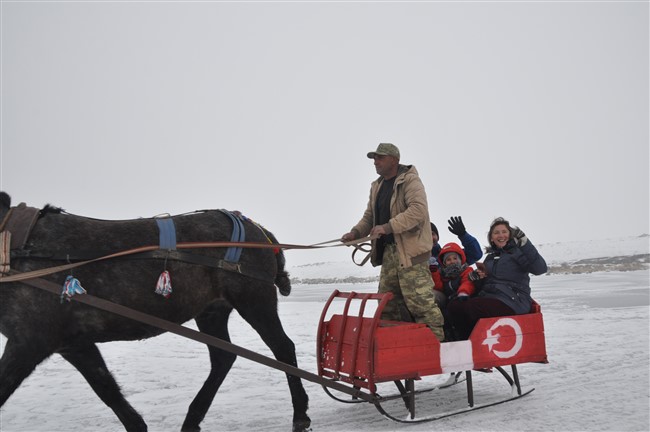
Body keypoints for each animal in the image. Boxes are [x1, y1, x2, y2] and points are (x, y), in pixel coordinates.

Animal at [0, 193, 310, 432]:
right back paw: (192, 419)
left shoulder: (31, 339)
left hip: (254, 298)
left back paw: (300, 414)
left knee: (283, 348)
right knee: (223, 357)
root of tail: (258, 229)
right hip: (211, 310)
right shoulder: (72, 342)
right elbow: (108, 390)